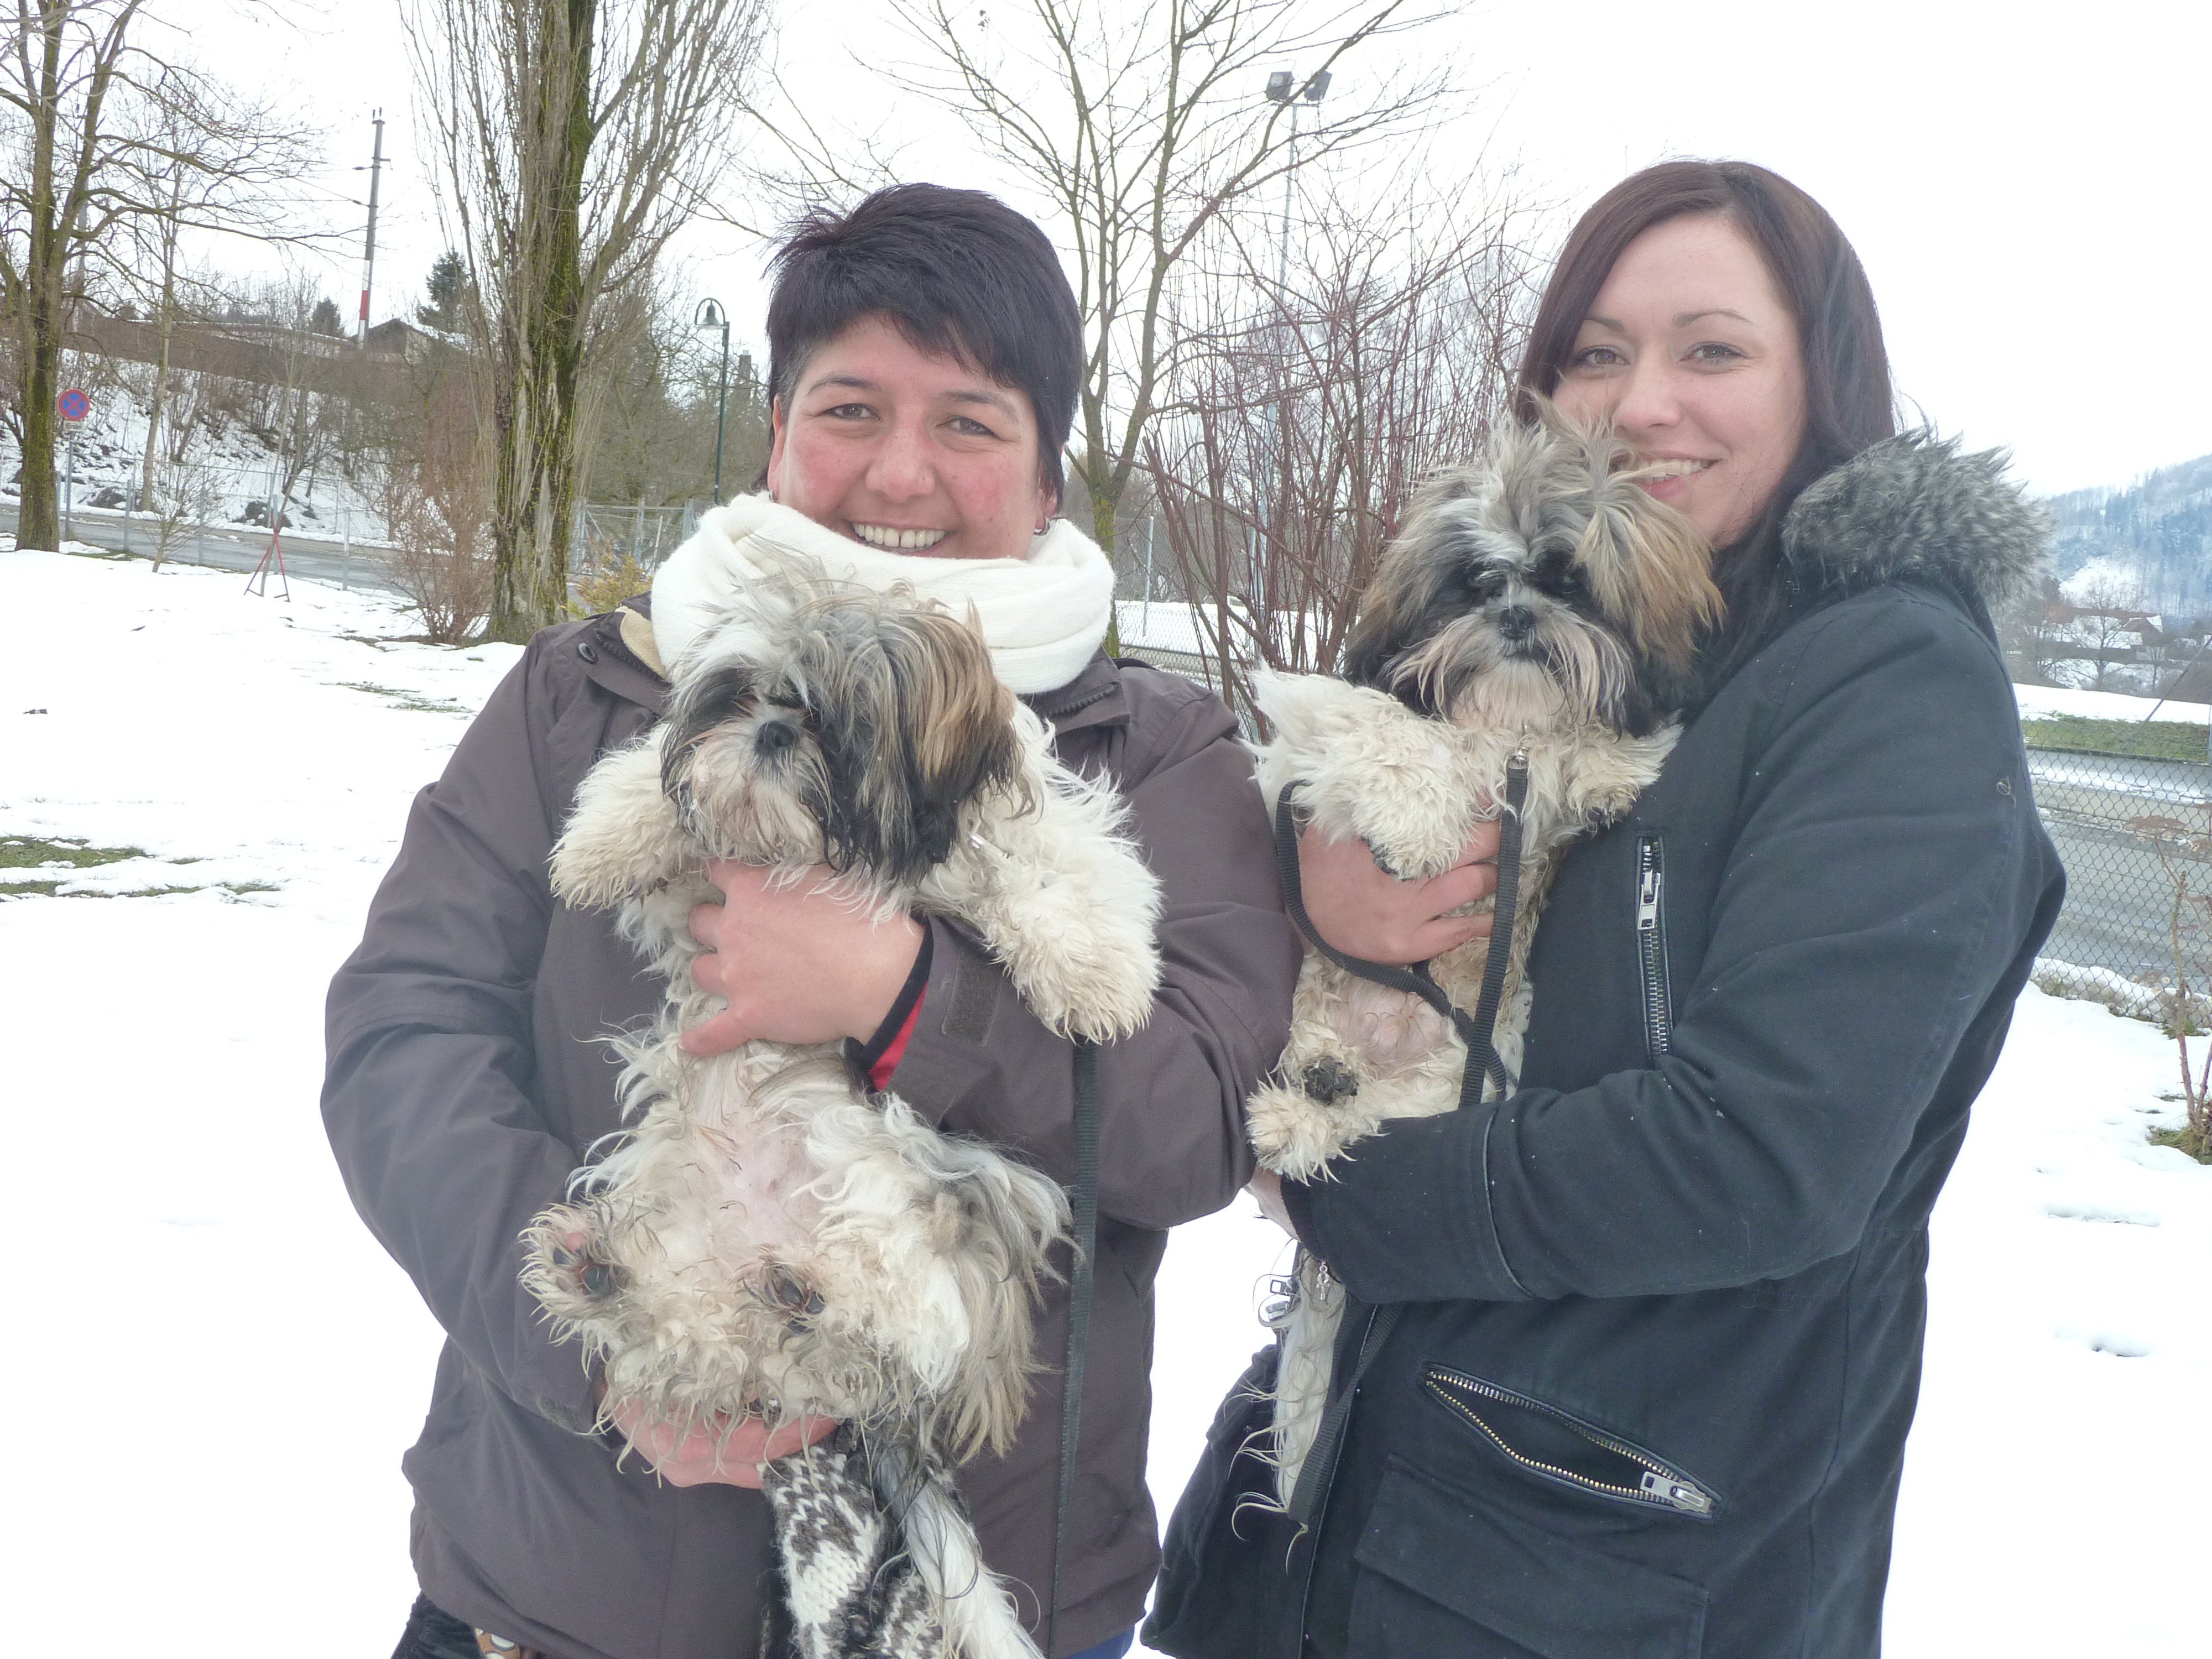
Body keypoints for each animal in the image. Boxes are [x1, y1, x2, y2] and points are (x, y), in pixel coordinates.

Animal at [522, 563, 1162, 1659]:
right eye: (743, 697)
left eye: (833, 722)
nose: (773, 735)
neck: (851, 853)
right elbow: (651, 788)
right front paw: (605, 840)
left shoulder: (1012, 834)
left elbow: (1056, 870)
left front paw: (1097, 975)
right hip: (688, 1195)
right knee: (705, 1332)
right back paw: (609, 1274)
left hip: (920, 1175)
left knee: (902, 1301)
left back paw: (813, 1288)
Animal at [1244, 407, 1720, 1506]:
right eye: (1473, 582)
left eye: (1565, 580)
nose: (1514, 619)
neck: (1501, 726)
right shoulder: (1321, 744)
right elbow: (1384, 728)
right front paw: (1419, 820)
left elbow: (1578, 755)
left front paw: (1614, 762)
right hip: (1320, 1000)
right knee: (1305, 1067)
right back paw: (1303, 1092)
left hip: (1473, 1066)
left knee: (1375, 1122)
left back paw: (1316, 1103)